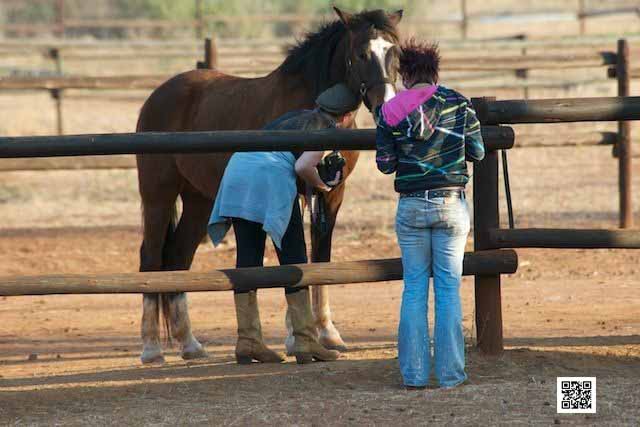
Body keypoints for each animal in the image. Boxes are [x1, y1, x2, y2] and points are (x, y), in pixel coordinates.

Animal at [135, 7, 402, 364]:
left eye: (394, 52)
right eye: (361, 53)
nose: (387, 105)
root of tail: (159, 94)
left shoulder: (332, 194)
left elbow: (320, 259)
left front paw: (326, 333)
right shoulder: (297, 191)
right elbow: (294, 259)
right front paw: (297, 337)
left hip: (198, 200)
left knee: (178, 257)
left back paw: (190, 344)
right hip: (158, 195)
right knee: (151, 257)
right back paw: (151, 348)